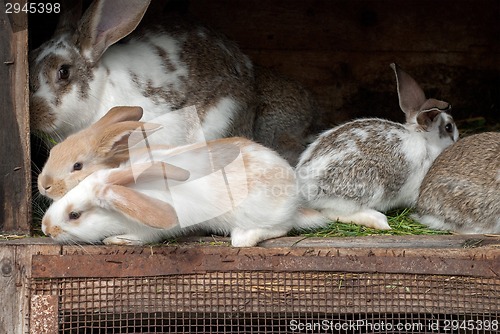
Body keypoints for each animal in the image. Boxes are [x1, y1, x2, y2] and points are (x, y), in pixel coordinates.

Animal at [41, 137, 330, 247]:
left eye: (75, 215)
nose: (45, 229)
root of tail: (294, 202)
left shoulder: (148, 230)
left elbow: (139, 238)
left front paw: (116, 240)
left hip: (261, 216)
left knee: (280, 228)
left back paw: (244, 237)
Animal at [294, 62, 458, 230]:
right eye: (448, 127)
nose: (456, 141)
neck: (426, 141)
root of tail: (303, 187)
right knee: (331, 213)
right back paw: (380, 221)